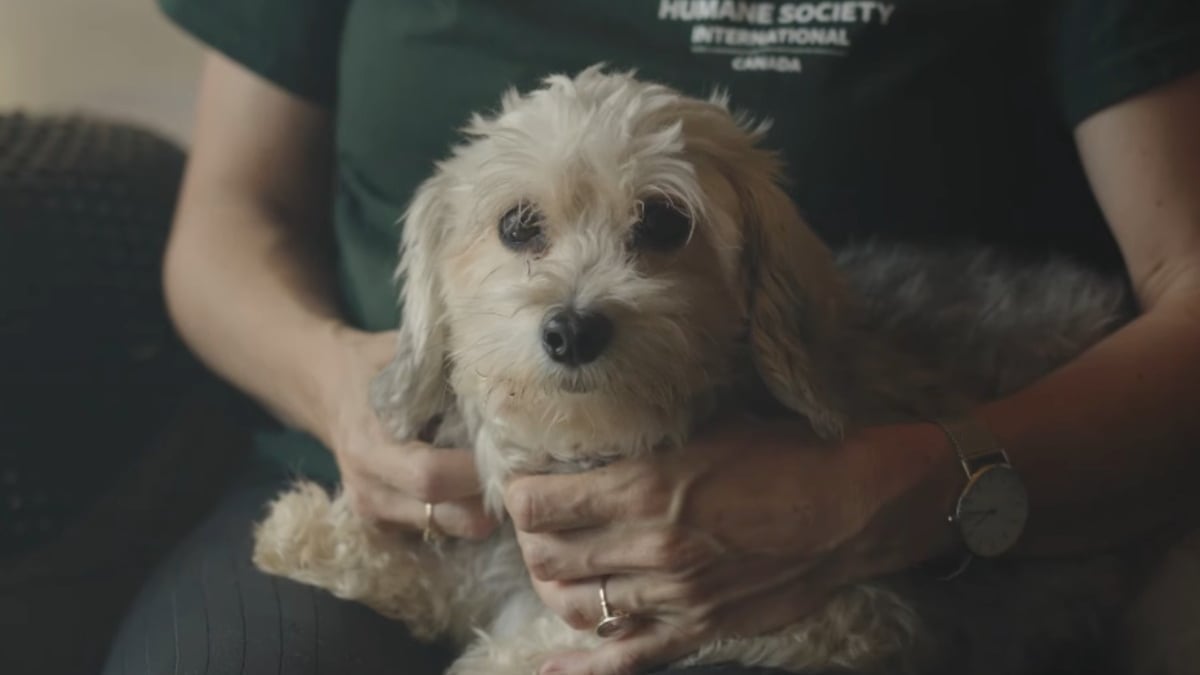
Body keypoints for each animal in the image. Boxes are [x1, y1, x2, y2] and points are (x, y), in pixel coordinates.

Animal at [250, 65, 1190, 667]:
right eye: (518, 225)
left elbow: (542, 642)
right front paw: (309, 531)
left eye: (664, 222)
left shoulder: (849, 614)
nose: (571, 329)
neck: (595, 447)